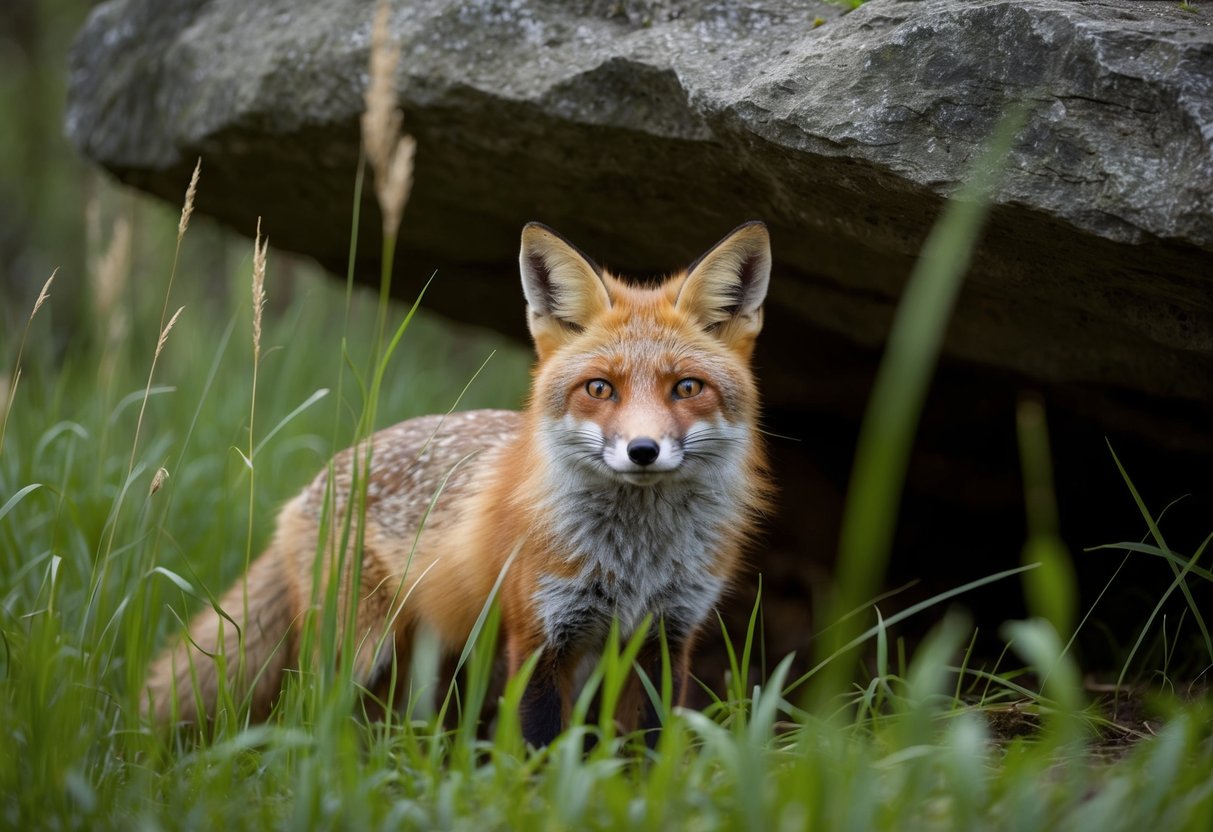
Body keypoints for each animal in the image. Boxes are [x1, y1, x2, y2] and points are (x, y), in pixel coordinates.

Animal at [145, 221, 772, 747]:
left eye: (687, 388)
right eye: (600, 389)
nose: (643, 450)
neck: (637, 560)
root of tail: (310, 487)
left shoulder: (664, 640)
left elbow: (643, 753)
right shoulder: (540, 634)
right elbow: (540, 751)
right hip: (360, 655)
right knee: (315, 720)